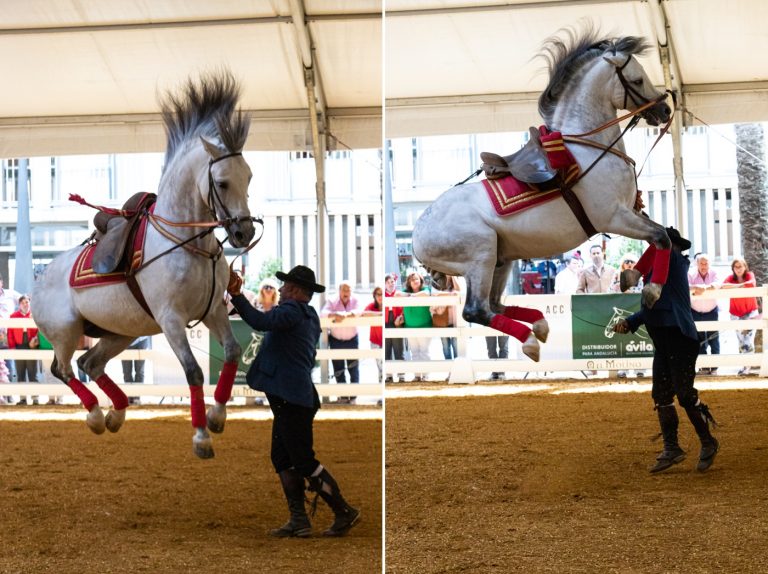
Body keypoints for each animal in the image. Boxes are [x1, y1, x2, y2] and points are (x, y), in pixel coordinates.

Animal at [32, 71, 255, 458]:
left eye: (250, 177)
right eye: (223, 182)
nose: (245, 232)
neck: (188, 245)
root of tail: (40, 277)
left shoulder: (213, 310)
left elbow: (231, 352)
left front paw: (217, 415)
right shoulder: (171, 319)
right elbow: (194, 372)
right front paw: (201, 436)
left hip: (120, 333)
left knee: (89, 363)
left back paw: (116, 413)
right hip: (65, 332)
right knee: (64, 370)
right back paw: (96, 415)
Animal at [412, 27, 673, 362]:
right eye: (638, 80)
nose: (664, 109)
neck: (588, 148)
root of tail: (418, 232)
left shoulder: (631, 212)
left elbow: (664, 234)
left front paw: (631, 277)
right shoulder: (613, 218)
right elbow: (662, 237)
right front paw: (651, 291)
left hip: (501, 260)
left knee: (495, 304)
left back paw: (539, 324)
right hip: (481, 257)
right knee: (476, 310)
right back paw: (530, 339)